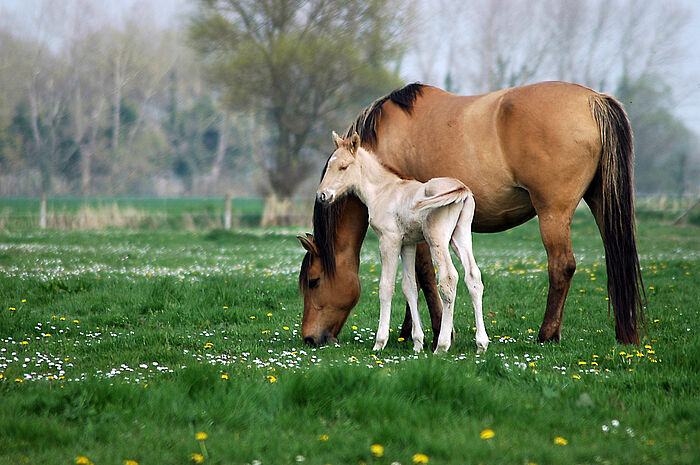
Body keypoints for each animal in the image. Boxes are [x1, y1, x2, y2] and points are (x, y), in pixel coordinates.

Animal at [318, 132, 486, 354]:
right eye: (330, 165)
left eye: (343, 167)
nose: (322, 195)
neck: (383, 191)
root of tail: (462, 188)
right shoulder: (408, 244)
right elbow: (410, 287)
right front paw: (417, 343)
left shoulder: (389, 240)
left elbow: (386, 287)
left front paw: (380, 342)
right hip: (460, 236)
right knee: (473, 277)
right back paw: (481, 344)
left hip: (437, 238)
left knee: (449, 279)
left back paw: (442, 345)